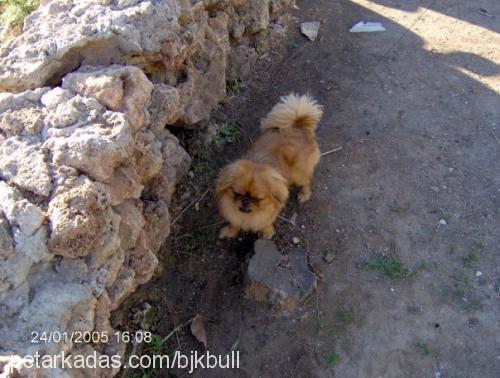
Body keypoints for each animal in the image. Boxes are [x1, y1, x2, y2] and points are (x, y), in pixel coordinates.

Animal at [217, 92, 322, 238]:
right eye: (236, 193)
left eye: (258, 199)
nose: (245, 201)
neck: (250, 215)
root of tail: (298, 125)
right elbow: (235, 223)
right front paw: (231, 231)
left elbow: (266, 222)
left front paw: (266, 231)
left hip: (298, 173)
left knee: (306, 181)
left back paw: (304, 195)